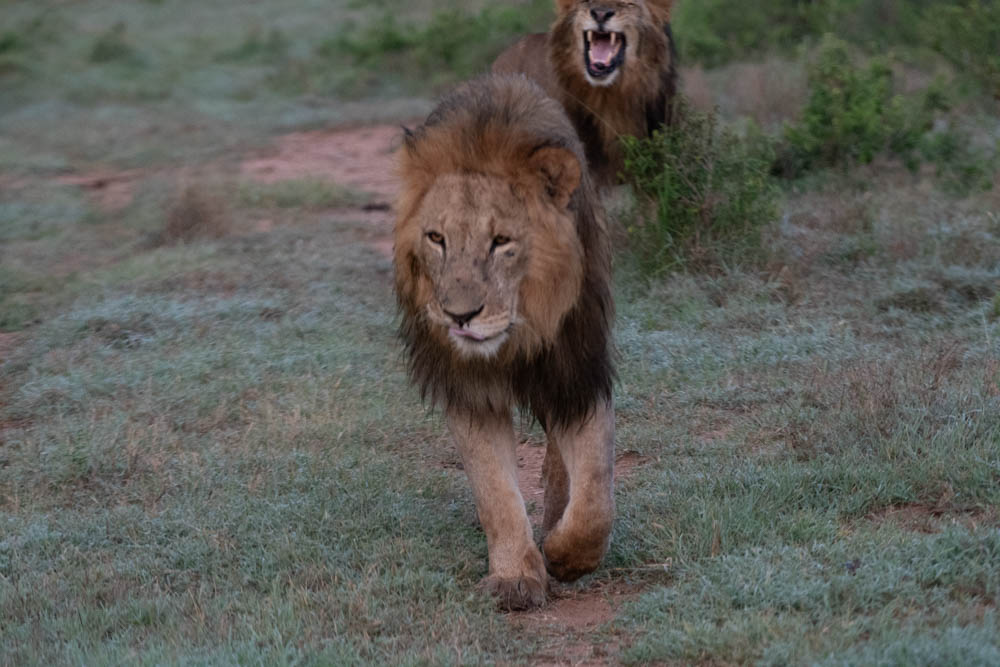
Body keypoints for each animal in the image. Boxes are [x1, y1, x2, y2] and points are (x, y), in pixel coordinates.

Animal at [394, 74, 616, 610]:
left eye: (501, 242)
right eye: (436, 238)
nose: (460, 315)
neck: (518, 333)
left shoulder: (578, 372)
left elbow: (595, 492)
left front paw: (566, 557)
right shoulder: (469, 388)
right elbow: (494, 490)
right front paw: (515, 578)